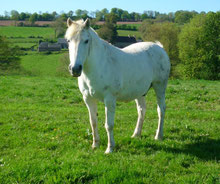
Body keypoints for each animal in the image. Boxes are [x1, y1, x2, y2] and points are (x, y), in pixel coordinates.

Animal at [65, 18, 170, 154]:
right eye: (68, 40)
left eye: (86, 40)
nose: (75, 69)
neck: (99, 65)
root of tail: (160, 48)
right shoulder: (88, 99)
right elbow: (93, 122)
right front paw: (95, 144)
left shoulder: (109, 99)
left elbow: (109, 125)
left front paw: (110, 148)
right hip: (140, 92)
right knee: (142, 110)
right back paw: (136, 134)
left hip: (160, 87)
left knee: (161, 110)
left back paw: (158, 136)